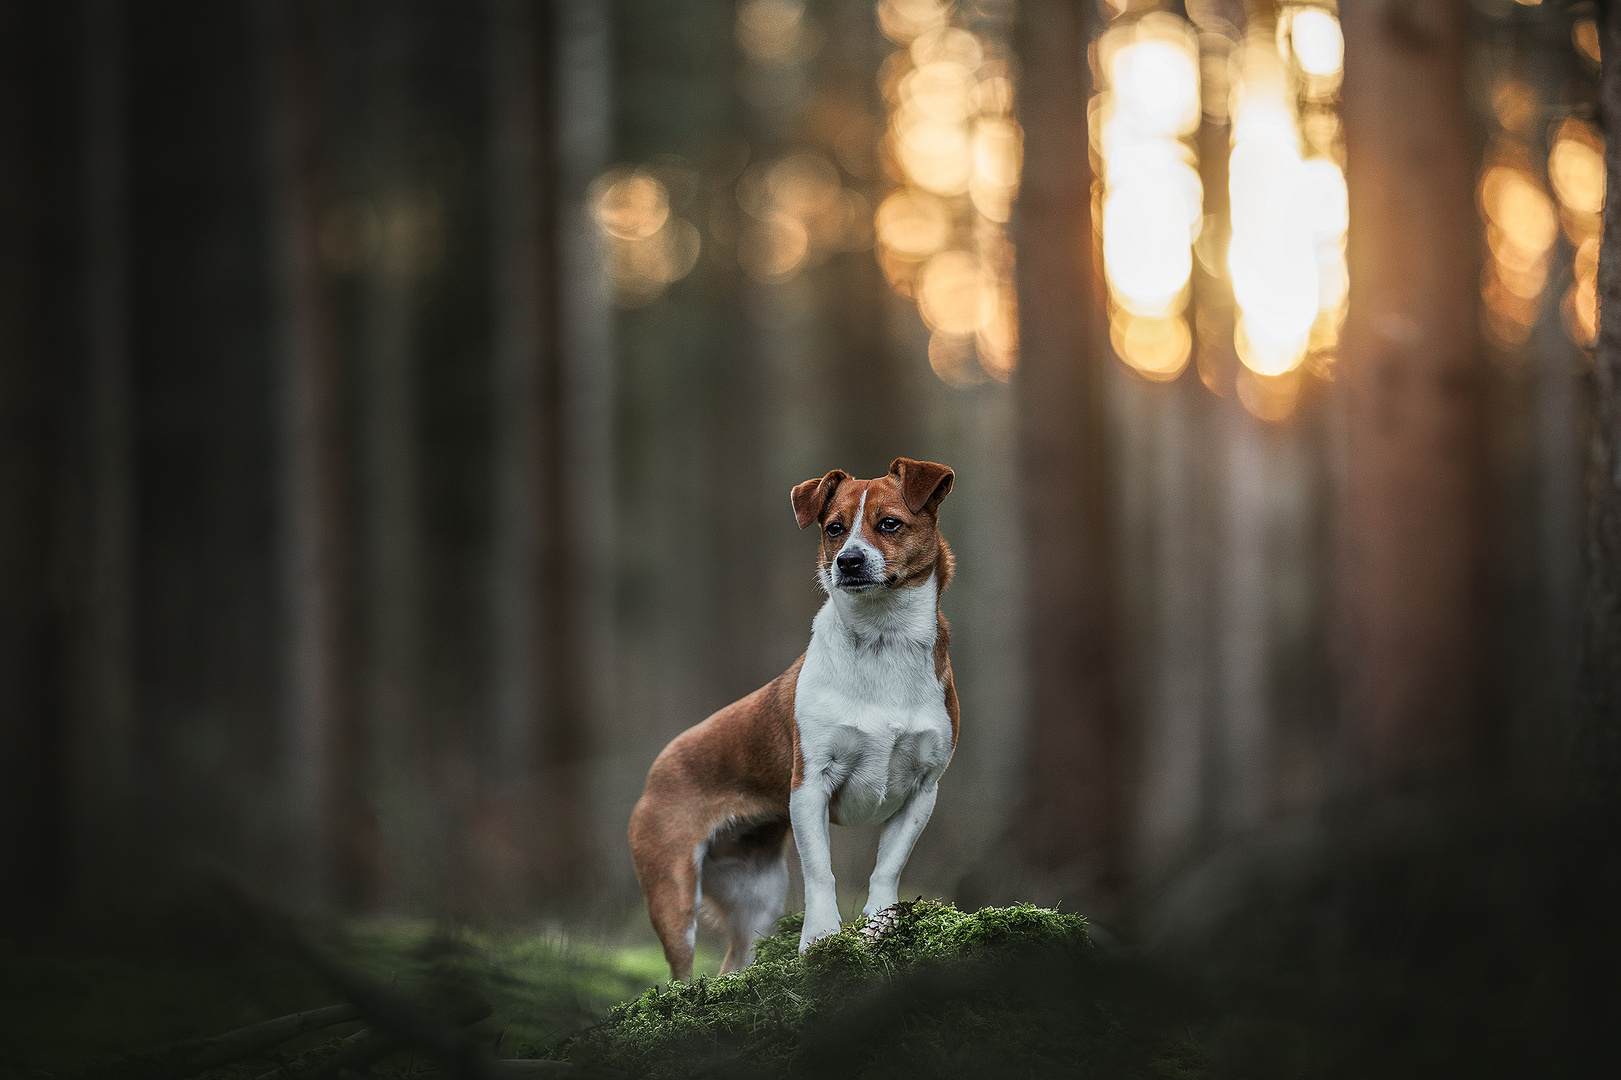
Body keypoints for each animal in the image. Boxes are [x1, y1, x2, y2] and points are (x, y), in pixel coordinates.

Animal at [625, 457, 953, 979]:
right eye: (834, 529)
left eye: (889, 524)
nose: (848, 561)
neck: (882, 641)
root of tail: (658, 767)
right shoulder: (811, 783)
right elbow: (820, 871)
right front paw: (820, 937)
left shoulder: (923, 789)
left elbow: (887, 867)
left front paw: (879, 924)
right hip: (673, 894)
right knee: (679, 974)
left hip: (756, 895)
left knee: (736, 960)